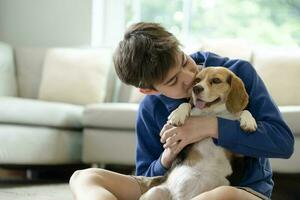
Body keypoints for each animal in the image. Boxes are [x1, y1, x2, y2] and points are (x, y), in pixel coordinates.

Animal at [141, 67, 258, 200]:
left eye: (216, 80)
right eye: (197, 80)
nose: (196, 88)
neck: (212, 113)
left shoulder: (239, 153)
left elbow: (245, 111)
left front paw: (249, 121)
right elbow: (186, 103)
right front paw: (177, 115)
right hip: (155, 192)